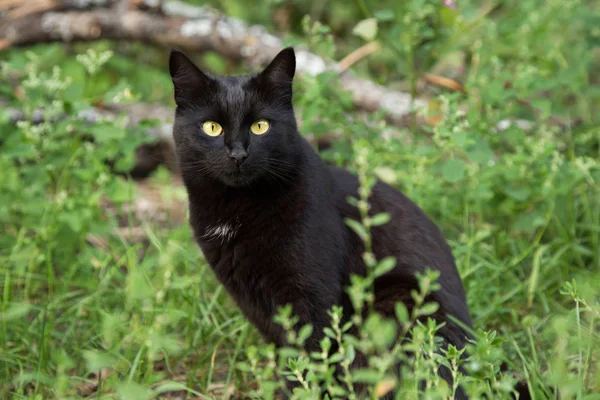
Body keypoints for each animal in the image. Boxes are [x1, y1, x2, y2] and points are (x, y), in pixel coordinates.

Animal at [168, 47, 474, 396]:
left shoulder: (311, 297)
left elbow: (312, 355)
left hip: (398, 304)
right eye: (211, 127)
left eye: (260, 126)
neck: (237, 209)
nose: (238, 154)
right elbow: (287, 357)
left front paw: (308, 393)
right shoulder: (255, 304)